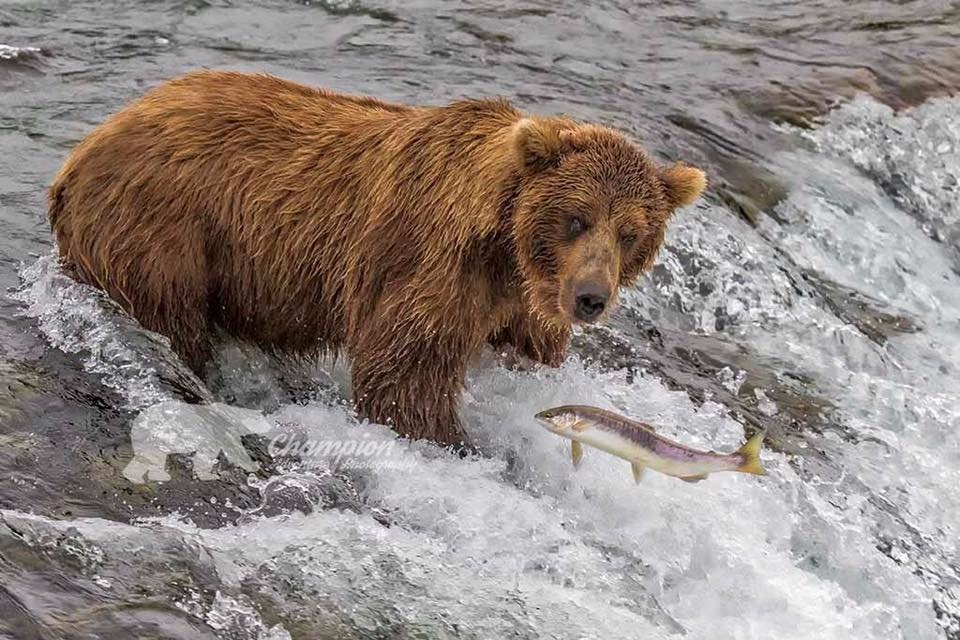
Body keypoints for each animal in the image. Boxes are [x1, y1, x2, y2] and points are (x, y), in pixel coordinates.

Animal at [50, 69, 704, 440]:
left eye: (631, 233)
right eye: (577, 217)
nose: (591, 298)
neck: (505, 249)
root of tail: (83, 150)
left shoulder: (522, 304)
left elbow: (528, 352)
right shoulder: (430, 267)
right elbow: (403, 377)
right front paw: (449, 440)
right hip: (160, 232)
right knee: (169, 320)